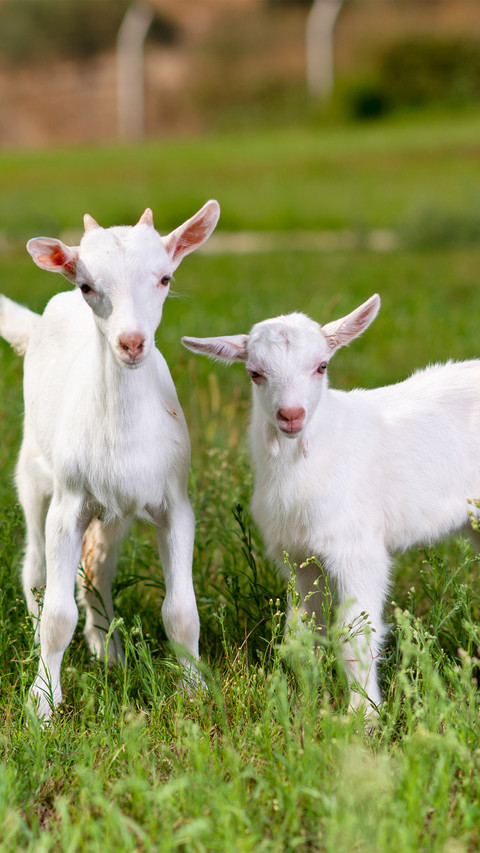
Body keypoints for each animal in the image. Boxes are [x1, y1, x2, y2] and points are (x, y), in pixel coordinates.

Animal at [0, 201, 220, 720]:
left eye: (164, 277)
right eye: (87, 285)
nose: (132, 343)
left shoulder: (174, 503)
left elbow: (182, 611)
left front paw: (194, 691)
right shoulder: (67, 505)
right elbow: (57, 616)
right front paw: (43, 704)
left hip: (114, 508)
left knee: (97, 568)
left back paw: (107, 650)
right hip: (33, 475)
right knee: (36, 571)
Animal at [182, 294, 480, 713]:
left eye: (321, 366)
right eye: (255, 373)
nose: (291, 415)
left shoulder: (356, 547)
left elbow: (355, 633)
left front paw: (362, 715)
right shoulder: (299, 557)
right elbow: (300, 633)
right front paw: (305, 700)